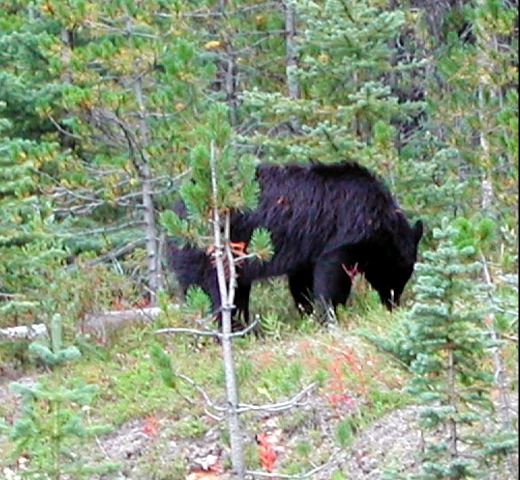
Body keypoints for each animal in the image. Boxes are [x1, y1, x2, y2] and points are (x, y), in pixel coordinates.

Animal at [167, 161, 422, 322]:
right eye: (400, 274)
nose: (393, 303)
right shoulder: (345, 233)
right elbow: (331, 276)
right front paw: (330, 314)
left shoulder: (306, 251)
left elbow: (302, 283)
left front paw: (307, 312)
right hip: (210, 251)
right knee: (211, 290)